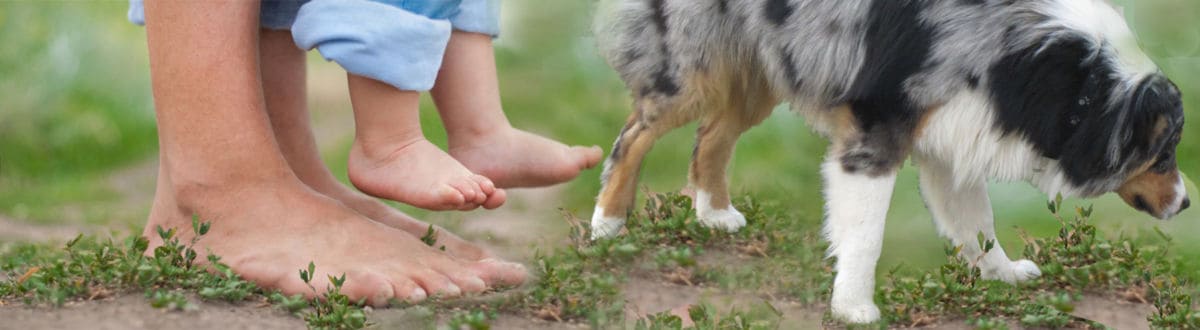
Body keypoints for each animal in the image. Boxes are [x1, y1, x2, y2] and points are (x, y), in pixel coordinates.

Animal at [590, 0, 1190, 326]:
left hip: (760, 67)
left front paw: (1001, 275)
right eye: (1163, 154)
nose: (1186, 204)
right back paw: (608, 224)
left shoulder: (958, 135)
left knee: (712, 136)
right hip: (693, 68)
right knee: (633, 135)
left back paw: (713, 213)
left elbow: (977, 224)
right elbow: (865, 234)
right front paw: (854, 307)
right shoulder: (875, 134)